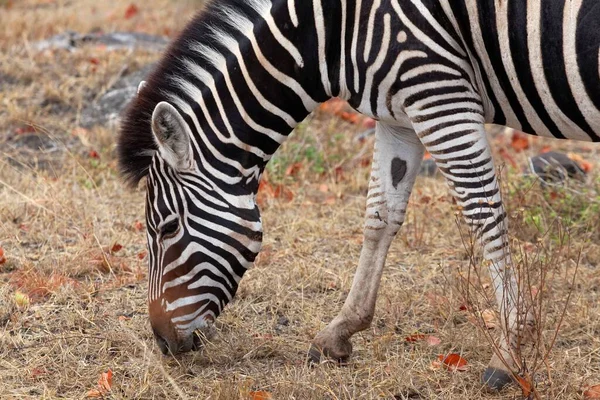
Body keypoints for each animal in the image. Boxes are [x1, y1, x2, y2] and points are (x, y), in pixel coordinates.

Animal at [118, 0, 600, 390]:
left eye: (166, 228)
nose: (162, 343)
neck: (331, 29)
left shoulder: (440, 95)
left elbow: (482, 214)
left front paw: (508, 354)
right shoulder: (400, 114)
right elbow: (379, 217)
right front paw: (340, 332)